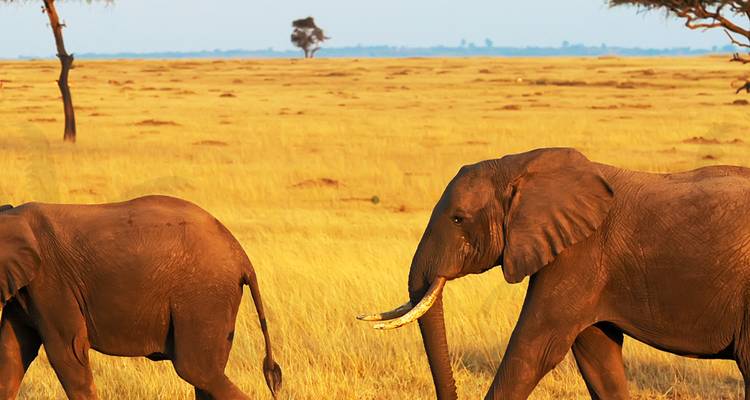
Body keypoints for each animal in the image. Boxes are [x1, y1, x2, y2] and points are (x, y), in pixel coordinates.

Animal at [0, 195, 282, 400]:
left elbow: (68, 353)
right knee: (206, 377)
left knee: (198, 371)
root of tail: (242, 256)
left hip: (204, 296)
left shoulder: (51, 283)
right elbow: (12, 351)